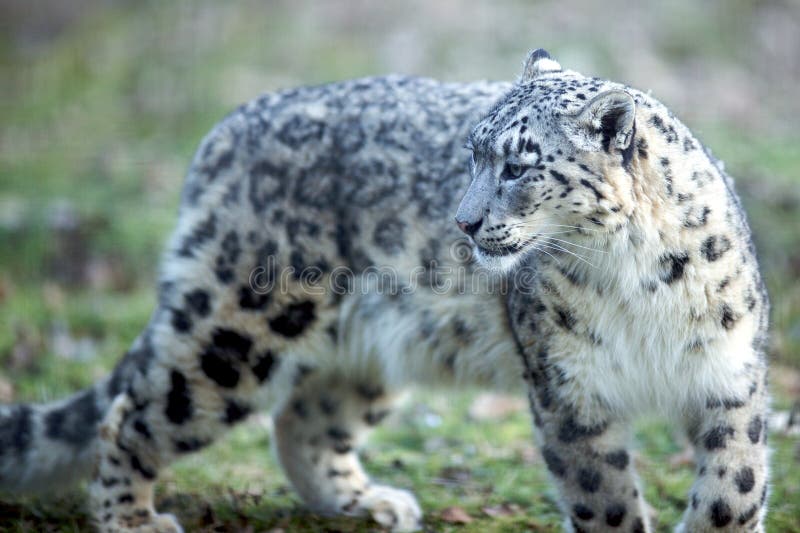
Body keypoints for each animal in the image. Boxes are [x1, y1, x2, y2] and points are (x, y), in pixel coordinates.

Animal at [0, 50, 768, 532]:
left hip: (368, 351)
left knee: (303, 419)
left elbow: (734, 485)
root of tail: (225, 131)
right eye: (472, 152)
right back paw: (132, 518)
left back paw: (366, 503)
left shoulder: (728, 373)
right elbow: (603, 497)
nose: (463, 220)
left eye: (519, 166)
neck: (633, 280)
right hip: (237, 329)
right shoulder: (570, 391)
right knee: (133, 413)